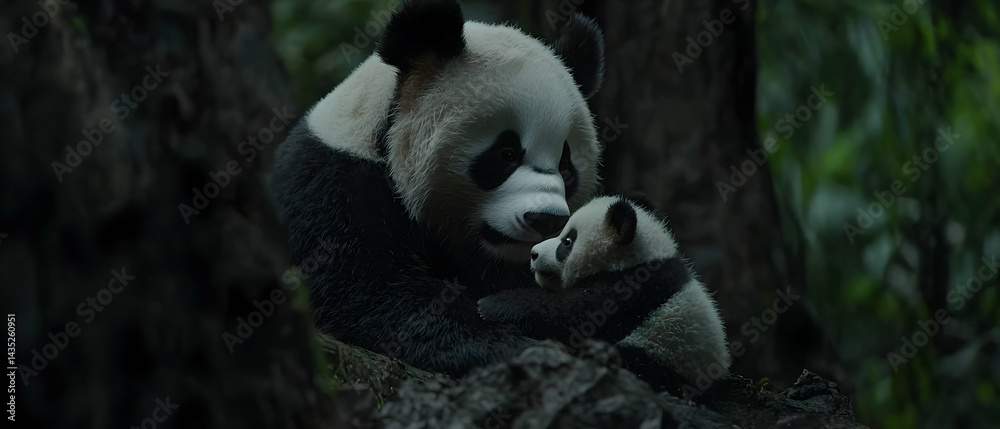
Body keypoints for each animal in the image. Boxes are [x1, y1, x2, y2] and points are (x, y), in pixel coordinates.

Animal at [269, 0, 606, 376]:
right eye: (506, 154)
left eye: (565, 166)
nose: (546, 219)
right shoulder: (332, 186)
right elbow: (362, 290)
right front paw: (506, 343)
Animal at [477, 196, 731, 394]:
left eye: (567, 242)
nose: (534, 253)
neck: (638, 258)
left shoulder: (630, 291)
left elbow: (573, 318)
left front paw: (492, 305)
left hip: (662, 355)